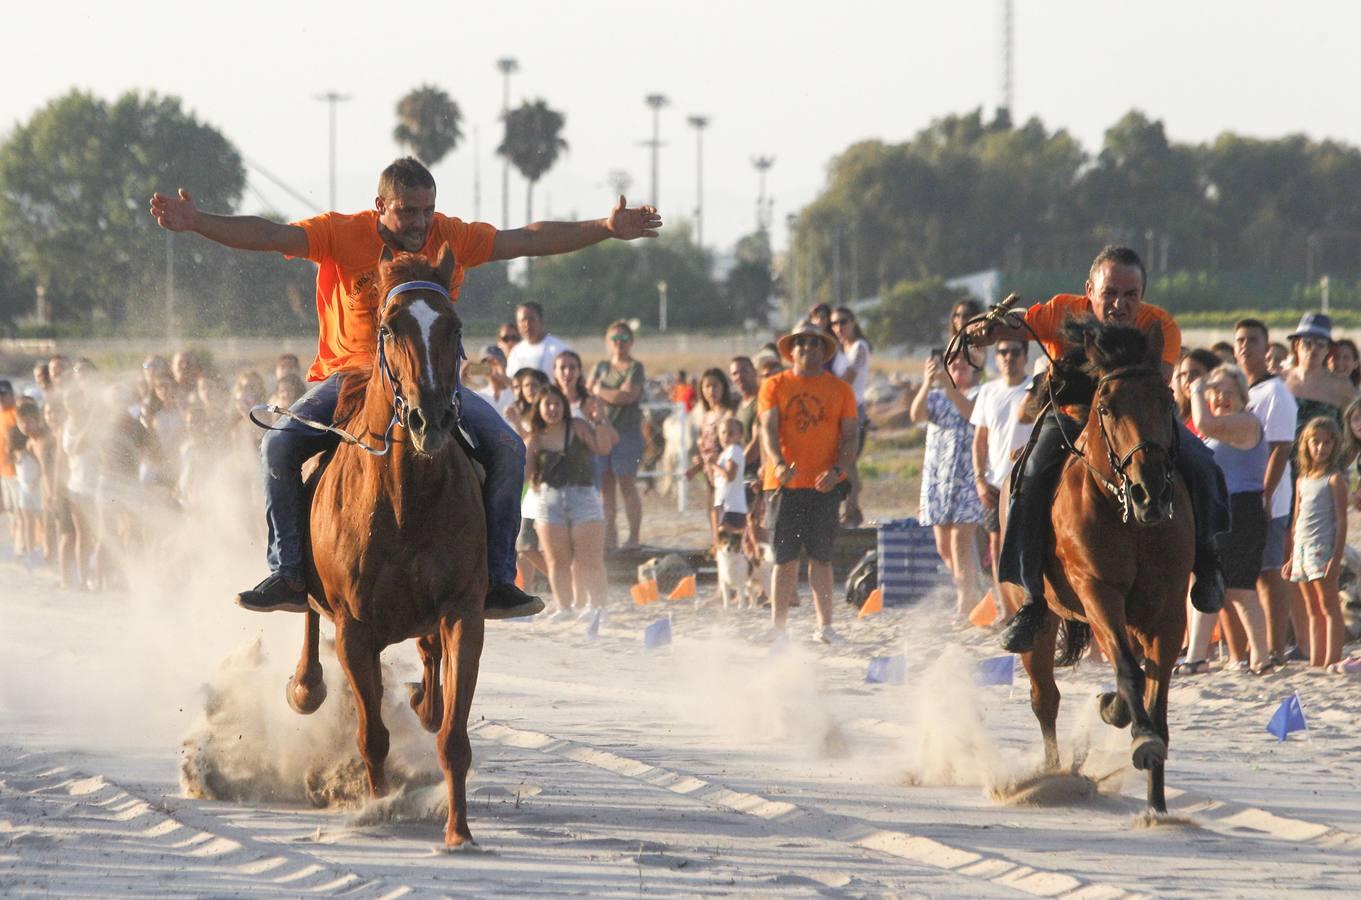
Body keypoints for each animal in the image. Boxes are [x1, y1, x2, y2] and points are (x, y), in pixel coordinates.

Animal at [283, 242, 489, 844]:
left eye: (453, 326)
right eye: (389, 327)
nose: (431, 418)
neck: (405, 497)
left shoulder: (464, 611)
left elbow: (453, 736)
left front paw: (459, 832)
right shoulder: (355, 628)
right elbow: (372, 735)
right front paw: (379, 809)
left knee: (429, 674)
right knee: (308, 618)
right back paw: (306, 685)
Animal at [1012, 319, 1192, 811]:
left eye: (1167, 399)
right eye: (1107, 407)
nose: (1151, 492)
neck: (1127, 515)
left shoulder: (1169, 611)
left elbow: (1155, 693)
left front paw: (1157, 804)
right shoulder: (1098, 592)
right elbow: (1129, 669)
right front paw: (1138, 733)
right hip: (1041, 615)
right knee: (1045, 697)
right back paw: (1052, 776)